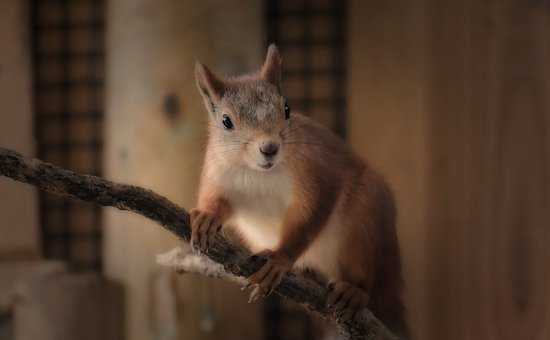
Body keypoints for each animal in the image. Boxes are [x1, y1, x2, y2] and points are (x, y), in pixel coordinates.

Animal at [192, 43, 408, 334]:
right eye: (226, 121)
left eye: (286, 108)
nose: (269, 148)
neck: (258, 173)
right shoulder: (217, 176)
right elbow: (216, 201)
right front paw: (206, 218)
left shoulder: (316, 175)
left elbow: (309, 217)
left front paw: (280, 259)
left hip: (364, 224)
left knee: (364, 277)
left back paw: (353, 292)